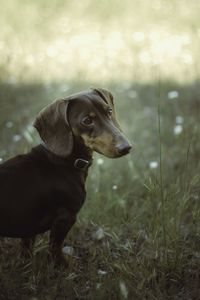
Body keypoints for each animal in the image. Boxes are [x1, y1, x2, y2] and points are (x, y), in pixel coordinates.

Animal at [0, 88, 133, 266]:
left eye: (109, 111)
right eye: (87, 120)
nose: (126, 147)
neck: (63, 162)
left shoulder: (28, 227)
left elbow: (26, 246)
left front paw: (25, 263)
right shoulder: (65, 217)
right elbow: (55, 247)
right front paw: (62, 265)